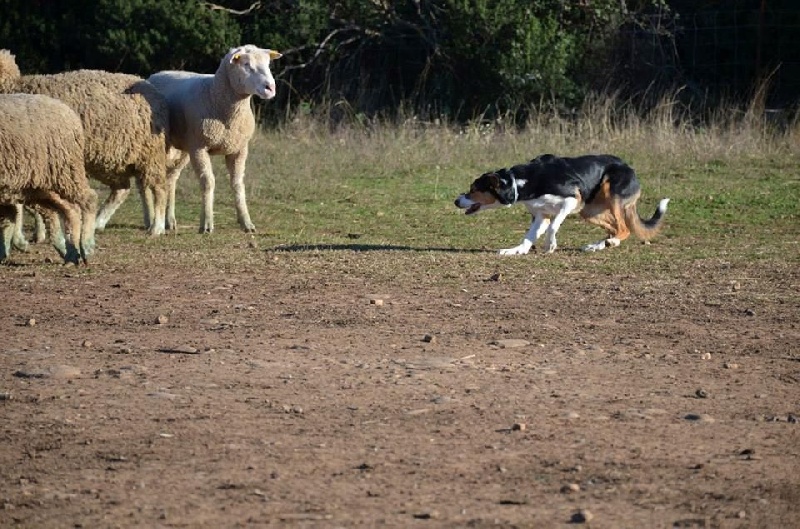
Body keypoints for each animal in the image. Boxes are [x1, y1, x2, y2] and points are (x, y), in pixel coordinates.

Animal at [0, 49, 169, 235]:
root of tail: (155, 93)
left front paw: (36, 233)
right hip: (110, 159)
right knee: (124, 188)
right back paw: (99, 222)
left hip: (149, 153)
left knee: (159, 188)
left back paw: (157, 227)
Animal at [0, 93, 97, 264]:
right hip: (35, 185)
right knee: (68, 210)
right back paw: (71, 253)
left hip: (65, 170)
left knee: (88, 199)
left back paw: (87, 247)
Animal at [148, 46, 282, 233]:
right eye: (246, 64)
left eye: (268, 64)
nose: (270, 87)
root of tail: (158, 73)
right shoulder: (199, 148)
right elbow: (208, 182)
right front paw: (207, 223)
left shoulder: (239, 149)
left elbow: (237, 184)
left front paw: (246, 222)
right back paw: (151, 220)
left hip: (184, 148)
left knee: (171, 178)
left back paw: (170, 221)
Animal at [456, 153, 668, 254]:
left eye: (473, 189)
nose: (456, 201)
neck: (520, 182)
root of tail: (629, 168)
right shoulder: (541, 215)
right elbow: (528, 237)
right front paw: (516, 251)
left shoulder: (570, 200)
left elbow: (553, 227)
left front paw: (550, 245)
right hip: (588, 211)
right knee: (615, 228)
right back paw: (599, 245)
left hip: (610, 193)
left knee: (624, 228)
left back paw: (611, 242)